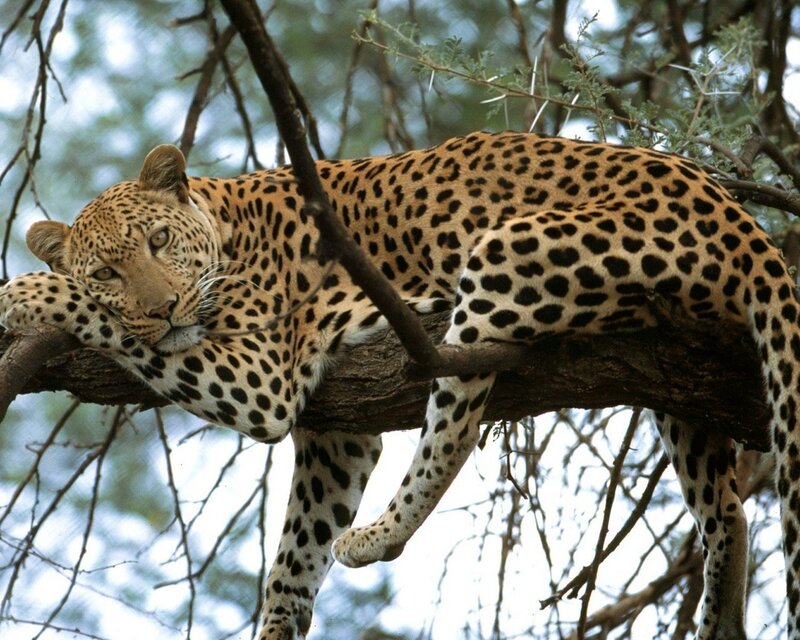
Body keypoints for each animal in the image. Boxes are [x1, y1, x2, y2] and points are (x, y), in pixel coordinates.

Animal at [1, 131, 798, 639]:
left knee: (456, 427)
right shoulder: (335, 433)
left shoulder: (261, 375)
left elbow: (103, 324)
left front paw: (23, 294)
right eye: (108, 270)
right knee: (728, 508)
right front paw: (278, 625)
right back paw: (721, 616)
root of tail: (739, 216)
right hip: (681, 382)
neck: (225, 225)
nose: (163, 308)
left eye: (159, 242)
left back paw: (378, 535)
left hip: (505, 253)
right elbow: (297, 548)